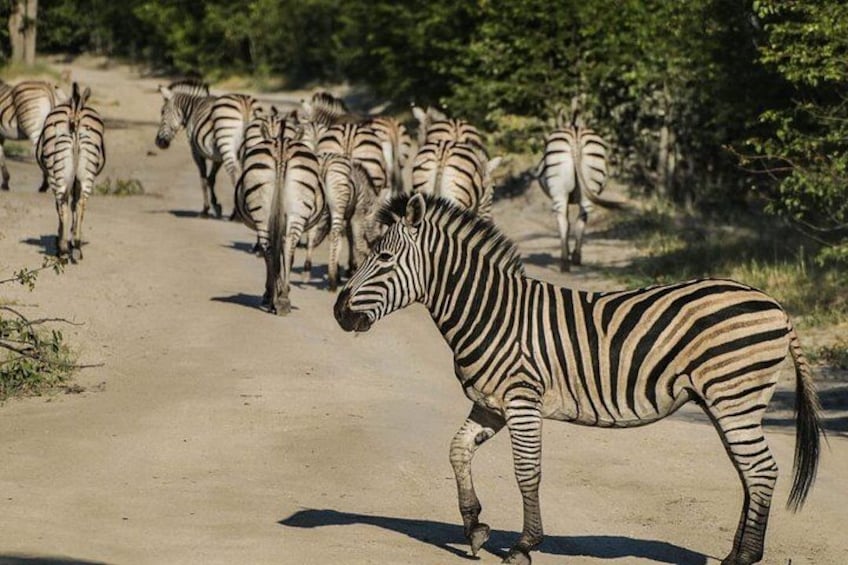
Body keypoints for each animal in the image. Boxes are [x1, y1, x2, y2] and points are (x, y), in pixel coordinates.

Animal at [36, 82, 105, 262]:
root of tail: (75, 113)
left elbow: (66, 205)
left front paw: (65, 239)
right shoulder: (75, 180)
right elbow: (74, 204)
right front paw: (71, 238)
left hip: (57, 171)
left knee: (62, 204)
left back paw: (64, 249)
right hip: (84, 172)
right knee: (80, 203)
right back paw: (75, 246)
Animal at [155, 79, 257, 218]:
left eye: (163, 112)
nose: (159, 142)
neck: (192, 109)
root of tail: (244, 103)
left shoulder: (196, 152)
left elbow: (203, 179)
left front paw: (206, 209)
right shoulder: (217, 156)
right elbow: (211, 179)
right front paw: (217, 206)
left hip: (227, 144)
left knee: (234, 173)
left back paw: (236, 214)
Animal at [234, 117, 322, 315]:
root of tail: (281, 146)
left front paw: (273, 291)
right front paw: (278, 290)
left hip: (266, 211)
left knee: (270, 247)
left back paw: (277, 298)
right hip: (294, 208)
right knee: (286, 245)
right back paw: (281, 299)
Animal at [334, 193, 823, 565]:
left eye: (384, 258)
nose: (339, 313)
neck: (490, 312)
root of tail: (775, 305)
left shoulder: (522, 401)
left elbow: (527, 472)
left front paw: (524, 546)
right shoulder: (490, 405)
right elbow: (457, 451)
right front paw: (474, 527)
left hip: (734, 397)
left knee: (760, 470)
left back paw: (744, 559)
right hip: (729, 402)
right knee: (749, 473)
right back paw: (736, 554)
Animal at [537, 110, 620, 272]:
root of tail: (575, 135)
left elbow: (567, 222)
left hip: (559, 191)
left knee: (563, 221)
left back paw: (565, 262)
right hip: (588, 186)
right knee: (582, 219)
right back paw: (575, 258)